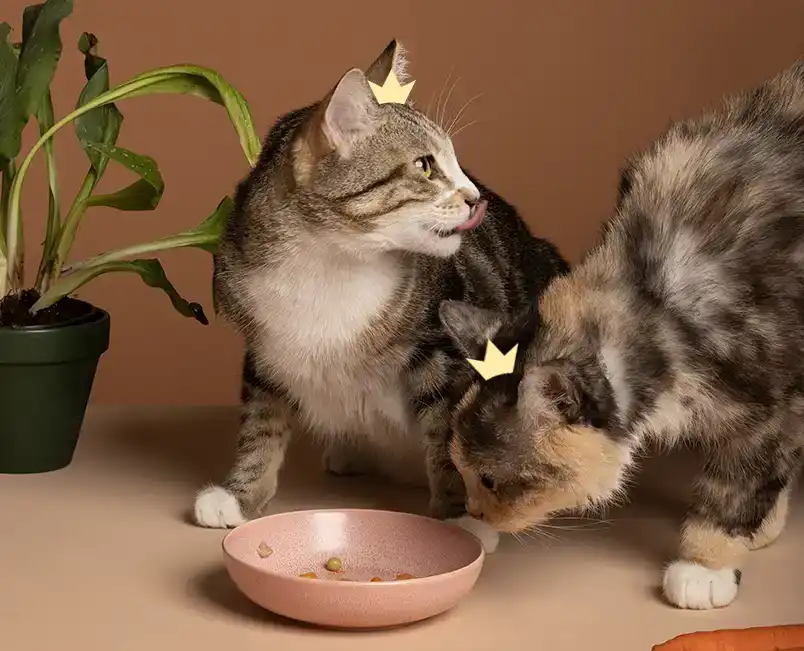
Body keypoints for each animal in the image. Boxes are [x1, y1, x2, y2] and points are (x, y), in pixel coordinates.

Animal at [193, 37, 572, 544]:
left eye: (457, 163)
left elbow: (449, 433)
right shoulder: (265, 346)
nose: (477, 197)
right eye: (425, 165)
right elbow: (261, 423)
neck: (329, 265)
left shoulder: (446, 346)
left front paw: (461, 515)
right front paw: (240, 494)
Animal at [440, 59, 804, 612]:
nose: (476, 512)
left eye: (491, 479)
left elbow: (736, 479)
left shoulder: (765, 398)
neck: (654, 296)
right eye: (459, 468)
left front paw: (706, 566)